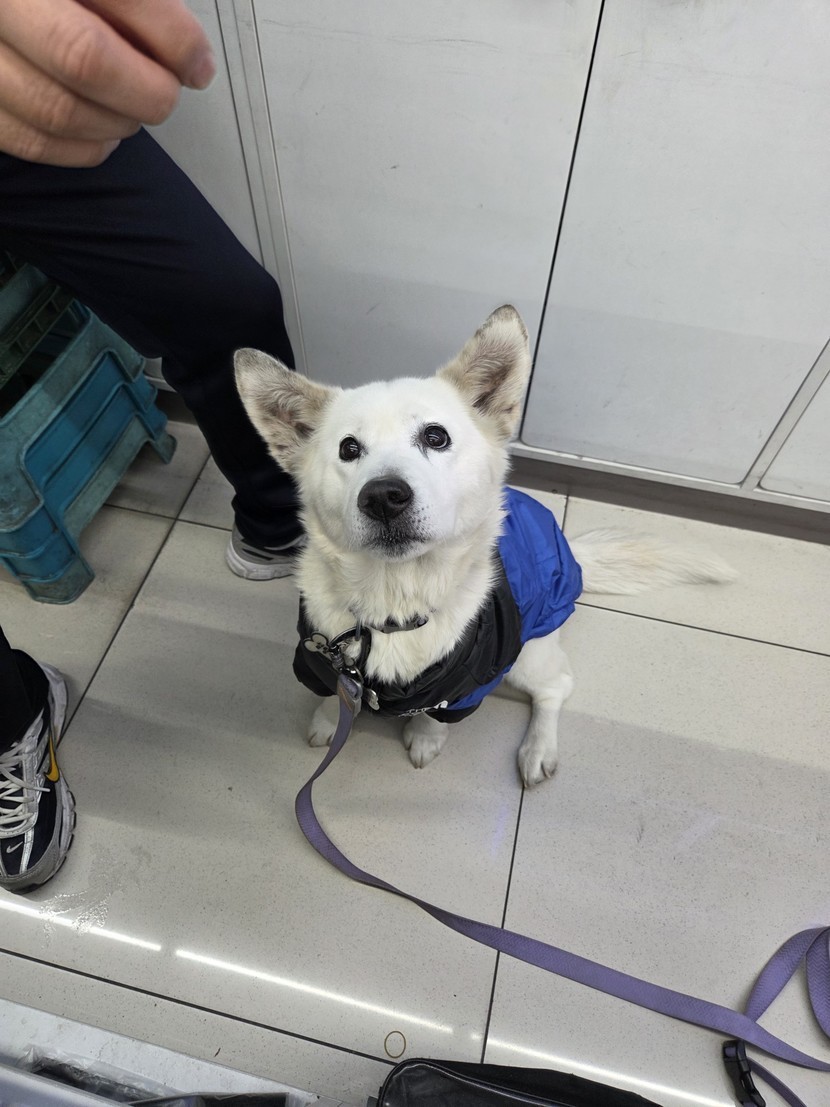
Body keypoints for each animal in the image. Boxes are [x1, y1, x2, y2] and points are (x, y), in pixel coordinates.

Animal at [234, 306, 735, 787]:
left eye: (436, 437)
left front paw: (424, 738)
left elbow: (435, 718)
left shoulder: (464, 688)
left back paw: (537, 751)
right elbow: (333, 697)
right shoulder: (319, 661)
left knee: (557, 686)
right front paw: (328, 720)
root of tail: (569, 555)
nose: (382, 497)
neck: (397, 603)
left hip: (528, 654)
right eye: (349, 449)